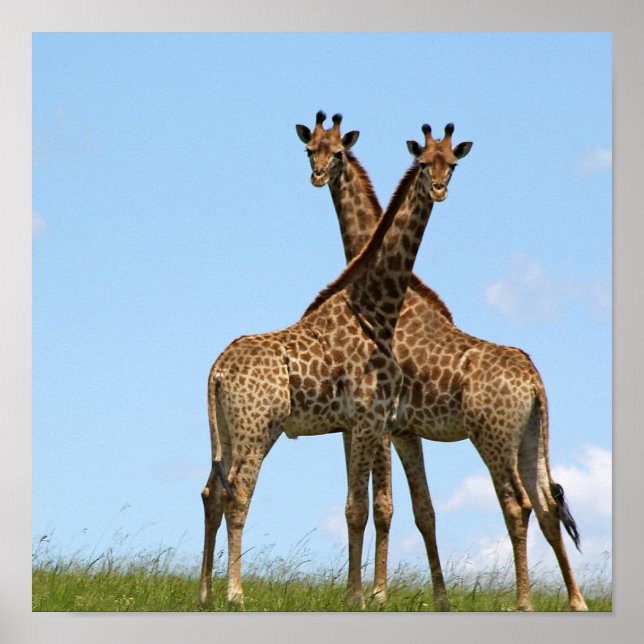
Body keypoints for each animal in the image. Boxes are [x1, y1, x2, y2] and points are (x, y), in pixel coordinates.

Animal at [198, 118, 471, 609]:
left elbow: (361, 506)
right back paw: (235, 594)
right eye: (424, 163)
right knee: (238, 493)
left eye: (452, 164)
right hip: (257, 428)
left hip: (227, 431)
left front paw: (359, 593)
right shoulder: (367, 420)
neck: (376, 307)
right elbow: (364, 507)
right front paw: (362, 597)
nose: (439, 189)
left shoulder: (361, 424)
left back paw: (205, 593)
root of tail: (217, 371)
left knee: (212, 491)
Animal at [297, 113, 587, 612]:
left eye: (336, 152)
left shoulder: (384, 425)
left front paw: (377, 593)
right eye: (309, 149)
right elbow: (423, 511)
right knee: (548, 506)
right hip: (531, 437)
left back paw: (524, 601)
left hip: (492, 438)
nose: (317, 176)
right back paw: (575, 601)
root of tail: (535, 381)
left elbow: (382, 505)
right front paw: (435, 597)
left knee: (517, 504)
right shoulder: (404, 429)